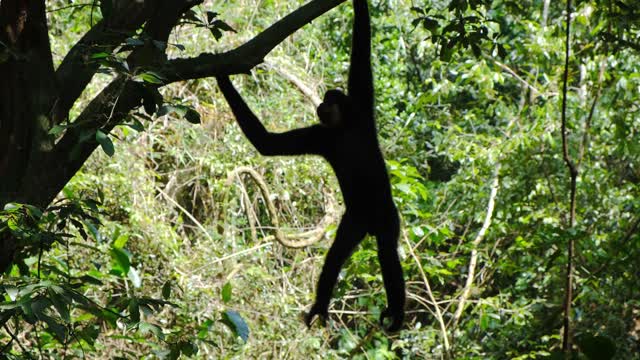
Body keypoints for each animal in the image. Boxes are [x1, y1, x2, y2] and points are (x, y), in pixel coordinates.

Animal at [216, 0, 404, 332]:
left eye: (329, 101)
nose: (320, 105)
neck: (344, 129)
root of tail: (368, 222)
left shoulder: (361, 112)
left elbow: (362, 50)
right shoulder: (323, 136)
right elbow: (267, 143)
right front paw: (221, 73)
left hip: (385, 214)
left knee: (386, 250)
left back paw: (397, 311)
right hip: (353, 221)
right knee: (336, 255)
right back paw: (320, 306)